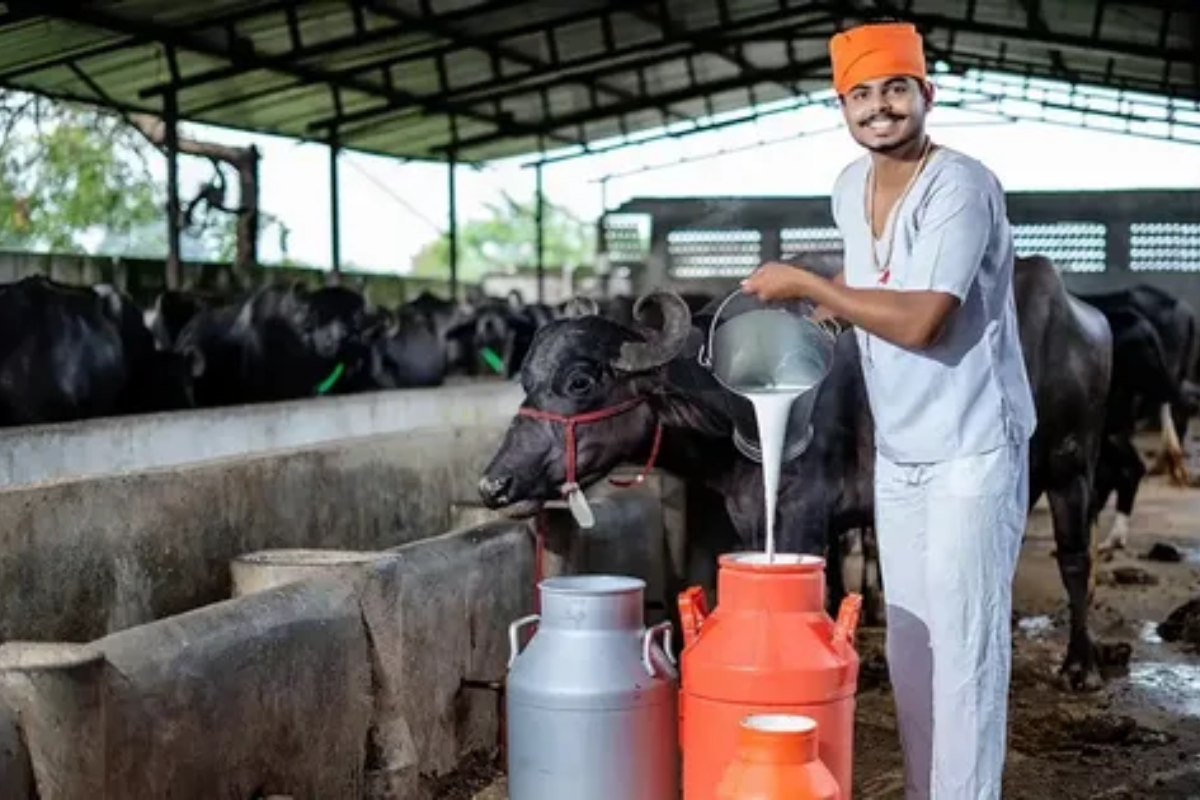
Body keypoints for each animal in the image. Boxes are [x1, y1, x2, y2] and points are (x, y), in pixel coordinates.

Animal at [480, 255, 1113, 690]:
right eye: (527, 379)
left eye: (581, 380)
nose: (494, 484)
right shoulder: (749, 512)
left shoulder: (806, 514)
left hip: (1072, 466)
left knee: (1075, 559)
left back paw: (1080, 665)